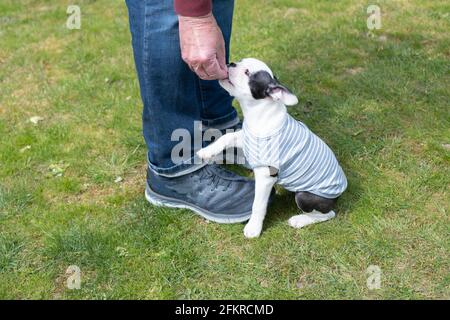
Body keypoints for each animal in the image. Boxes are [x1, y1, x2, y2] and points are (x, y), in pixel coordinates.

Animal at [197, 58, 348, 238]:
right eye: (240, 61)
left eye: (247, 73)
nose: (231, 63)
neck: (257, 113)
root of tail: (340, 192)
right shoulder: (246, 138)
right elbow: (227, 137)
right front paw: (208, 152)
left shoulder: (265, 176)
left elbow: (258, 205)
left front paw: (253, 228)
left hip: (305, 196)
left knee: (328, 214)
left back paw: (299, 220)